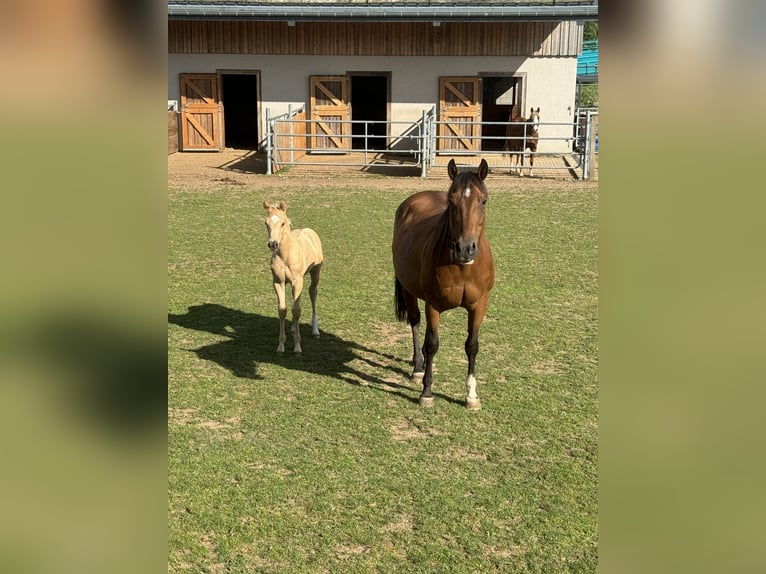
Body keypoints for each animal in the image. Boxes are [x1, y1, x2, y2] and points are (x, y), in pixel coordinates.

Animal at [263, 201, 324, 354]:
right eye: (266, 223)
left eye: (282, 223)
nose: (273, 244)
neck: (286, 255)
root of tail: (309, 230)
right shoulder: (278, 282)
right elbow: (283, 310)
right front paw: (280, 347)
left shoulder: (298, 281)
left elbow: (296, 311)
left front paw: (297, 348)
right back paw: (292, 328)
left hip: (316, 272)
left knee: (313, 293)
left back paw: (315, 331)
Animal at [392, 159, 495, 410]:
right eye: (451, 201)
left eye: (483, 200)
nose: (465, 248)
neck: (463, 268)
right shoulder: (433, 305)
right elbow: (432, 344)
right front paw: (427, 392)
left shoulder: (480, 304)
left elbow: (472, 345)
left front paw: (471, 395)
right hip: (409, 290)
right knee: (415, 323)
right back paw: (418, 367)